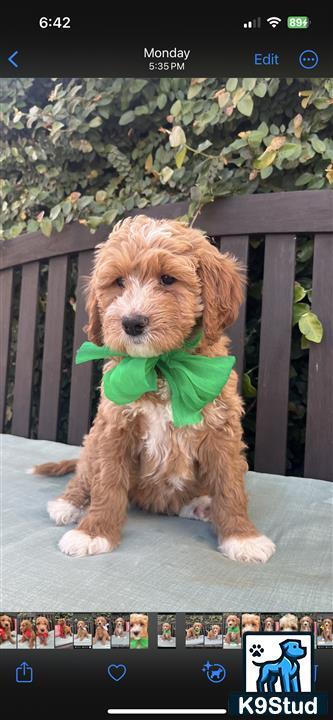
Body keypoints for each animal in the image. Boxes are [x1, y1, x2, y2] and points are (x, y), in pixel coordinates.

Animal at [34, 217, 274, 564]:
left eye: (167, 279)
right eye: (118, 282)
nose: (132, 322)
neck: (161, 366)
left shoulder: (221, 429)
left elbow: (230, 485)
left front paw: (243, 537)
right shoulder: (114, 428)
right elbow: (106, 483)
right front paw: (93, 532)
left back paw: (201, 505)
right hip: (92, 442)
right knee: (84, 474)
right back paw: (69, 504)